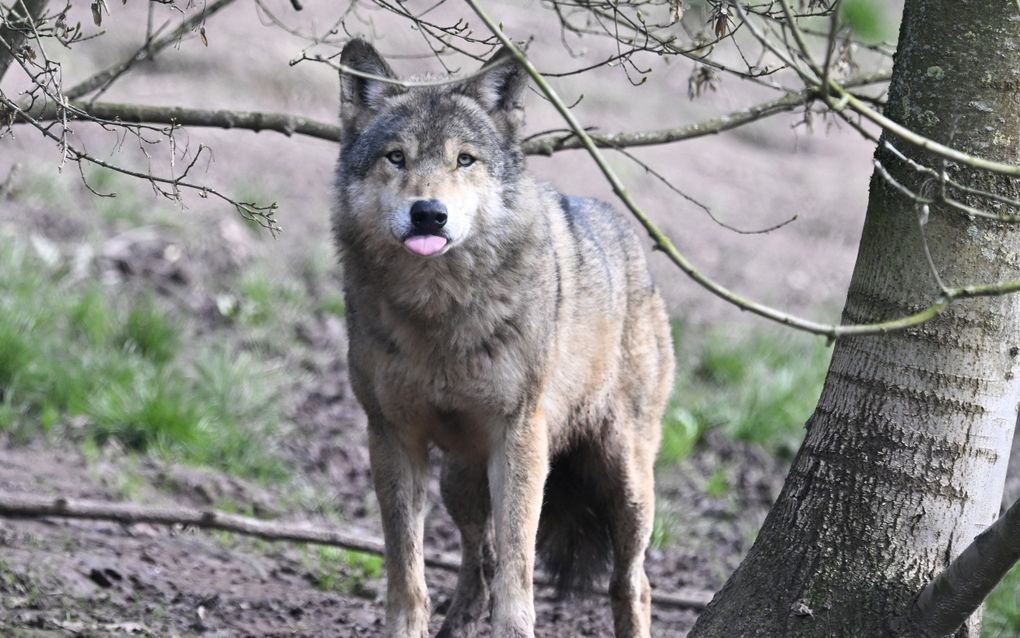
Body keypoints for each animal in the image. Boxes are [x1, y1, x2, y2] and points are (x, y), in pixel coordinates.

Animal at [330, 39, 673, 636]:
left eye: (464, 160)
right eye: (396, 157)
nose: (429, 213)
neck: (438, 312)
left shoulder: (520, 438)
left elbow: (519, 571)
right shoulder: (391, 436)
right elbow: (407, 571)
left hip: (626, 482)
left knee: (633, 583)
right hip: (457, 478)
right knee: (479, 560)